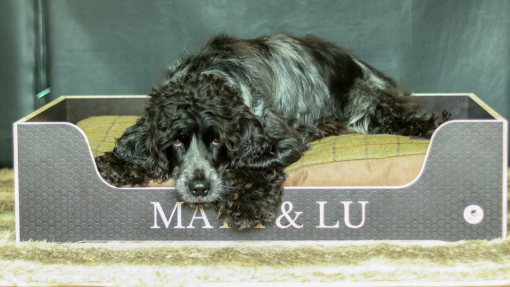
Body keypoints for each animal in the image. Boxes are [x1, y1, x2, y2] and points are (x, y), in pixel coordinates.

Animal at [94, 32, 446, 228]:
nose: (199, 188)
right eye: (177, 142)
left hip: (366, 99)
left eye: (217, 140)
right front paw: (117, 162)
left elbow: (254, 165)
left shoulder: (282, 137)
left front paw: (246, 203)